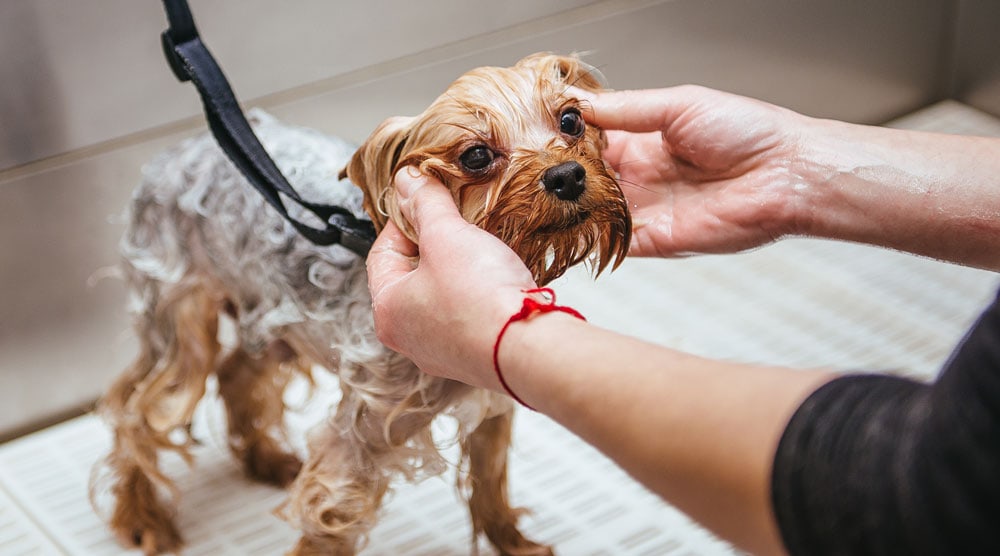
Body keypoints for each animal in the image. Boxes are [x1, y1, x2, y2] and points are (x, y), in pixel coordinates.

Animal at [97, 53, 632, 556]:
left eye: (570, 120)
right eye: (477, 155)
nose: (567, 175)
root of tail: (183, 147)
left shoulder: (493, 399)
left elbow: (490, 484)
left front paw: (517, 546)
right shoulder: (360, 440)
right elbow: (329, 521)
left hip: (274, 316)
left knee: (234, 373)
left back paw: (266, 460)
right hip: (179, 318)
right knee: (134, 411)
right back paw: (142, 517)